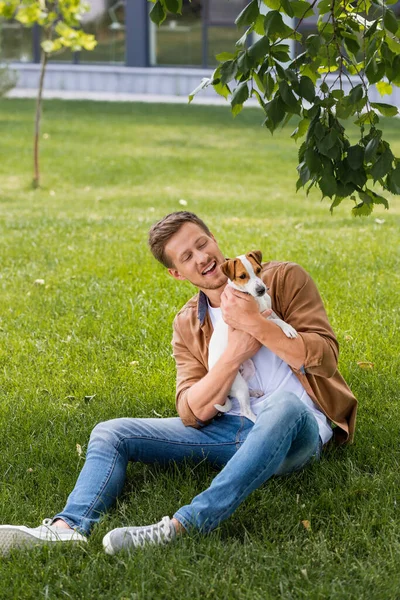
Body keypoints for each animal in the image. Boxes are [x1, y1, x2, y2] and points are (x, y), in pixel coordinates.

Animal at [209, 251, 296, 424]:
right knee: (245, 410)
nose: (261, 290)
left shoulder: (269, 310)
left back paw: (254, 392)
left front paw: (287, 325)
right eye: (242, 276)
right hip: (238, 384)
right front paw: (288, 329)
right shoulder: (255, 319)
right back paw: (257, 419)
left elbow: (277, 317)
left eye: (258, 270)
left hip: (248, 369)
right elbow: (276, 322)